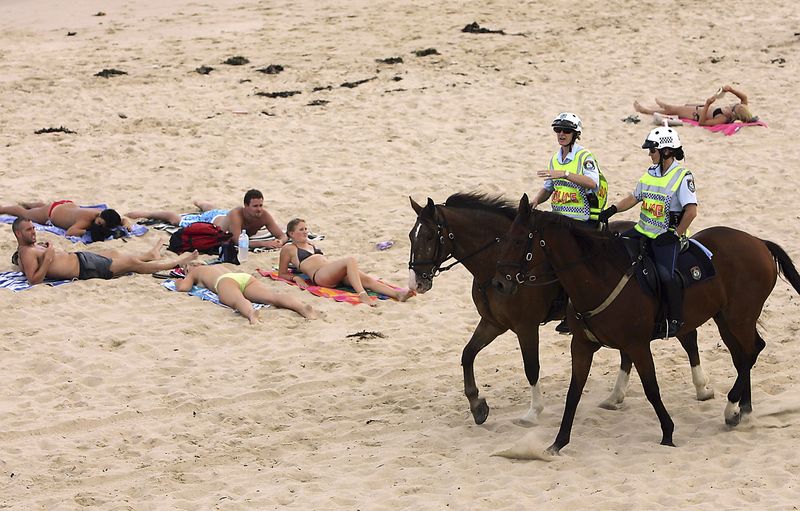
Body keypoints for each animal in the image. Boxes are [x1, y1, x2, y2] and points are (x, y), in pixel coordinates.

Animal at [410, 194, 708, 426]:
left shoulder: (525, 327)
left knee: (688, 338)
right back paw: (616, 396)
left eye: (428, 236)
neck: (495, 263)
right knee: (629, 352)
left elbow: (531, 367)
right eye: (411, 236)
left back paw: (702, 388)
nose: (417, 282)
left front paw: (533, 412)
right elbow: (467, 355)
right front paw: (477, 404)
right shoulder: (493, 323)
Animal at [490, 194, 800, 454]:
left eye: (518, 241)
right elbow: (573, 393)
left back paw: (733, 408)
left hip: (739, 318)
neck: (598, 278)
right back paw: (742, 410)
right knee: (742, 356)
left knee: (751, 352)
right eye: (504, 238)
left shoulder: (637, 345)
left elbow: (652, 388)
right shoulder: (582, 345)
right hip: (726, 320)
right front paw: (558, 442)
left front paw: (668, 432)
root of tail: (757, 242)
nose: (499, 284)